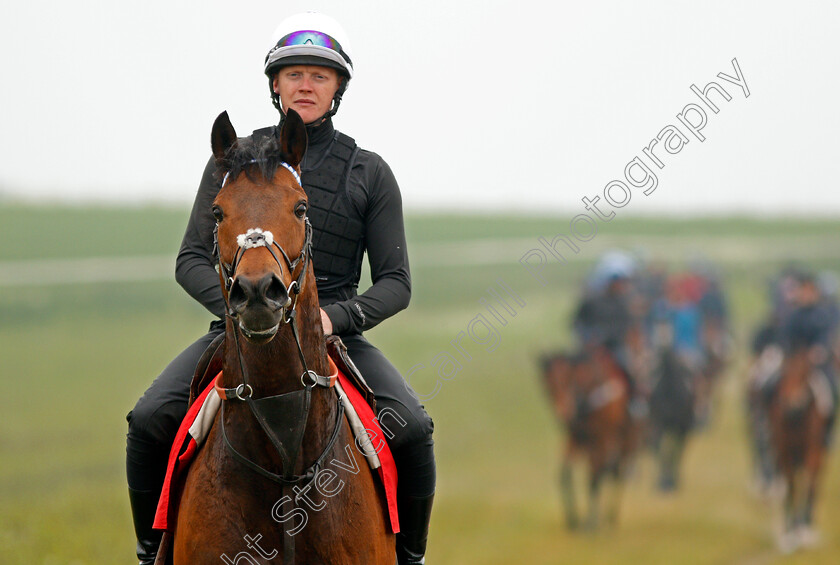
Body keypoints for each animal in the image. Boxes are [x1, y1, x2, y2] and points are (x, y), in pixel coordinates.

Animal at [540, 348, 632, 528]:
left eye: (568, 379)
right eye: (548, 385)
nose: (563, 411)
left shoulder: (602, 439)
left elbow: (594, 478)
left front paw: (591, 523)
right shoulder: (576, 439)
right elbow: (565, 473)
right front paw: (573, 519)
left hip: (625, 441)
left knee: (617, 472)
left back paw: (610, 517)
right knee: (609, 470)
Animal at [772, 348, 832, 552]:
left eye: (805, 373)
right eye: (785, 373)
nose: (793, 404)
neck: (797, 418)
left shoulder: (812, 452)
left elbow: (810, 484)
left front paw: (804, 530)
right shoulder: (785, 452)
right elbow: (791, 487)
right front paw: (789, 533)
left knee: (813, 484)